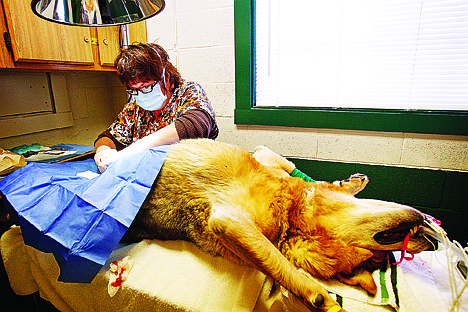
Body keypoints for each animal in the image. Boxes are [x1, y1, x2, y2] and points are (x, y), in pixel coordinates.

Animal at [121, 140, 436, 312]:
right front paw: (320, 296)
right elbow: (277, 262)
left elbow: (275, 260)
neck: (293, 221)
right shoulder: (230, 218)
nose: (429, 240)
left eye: (380, 260)